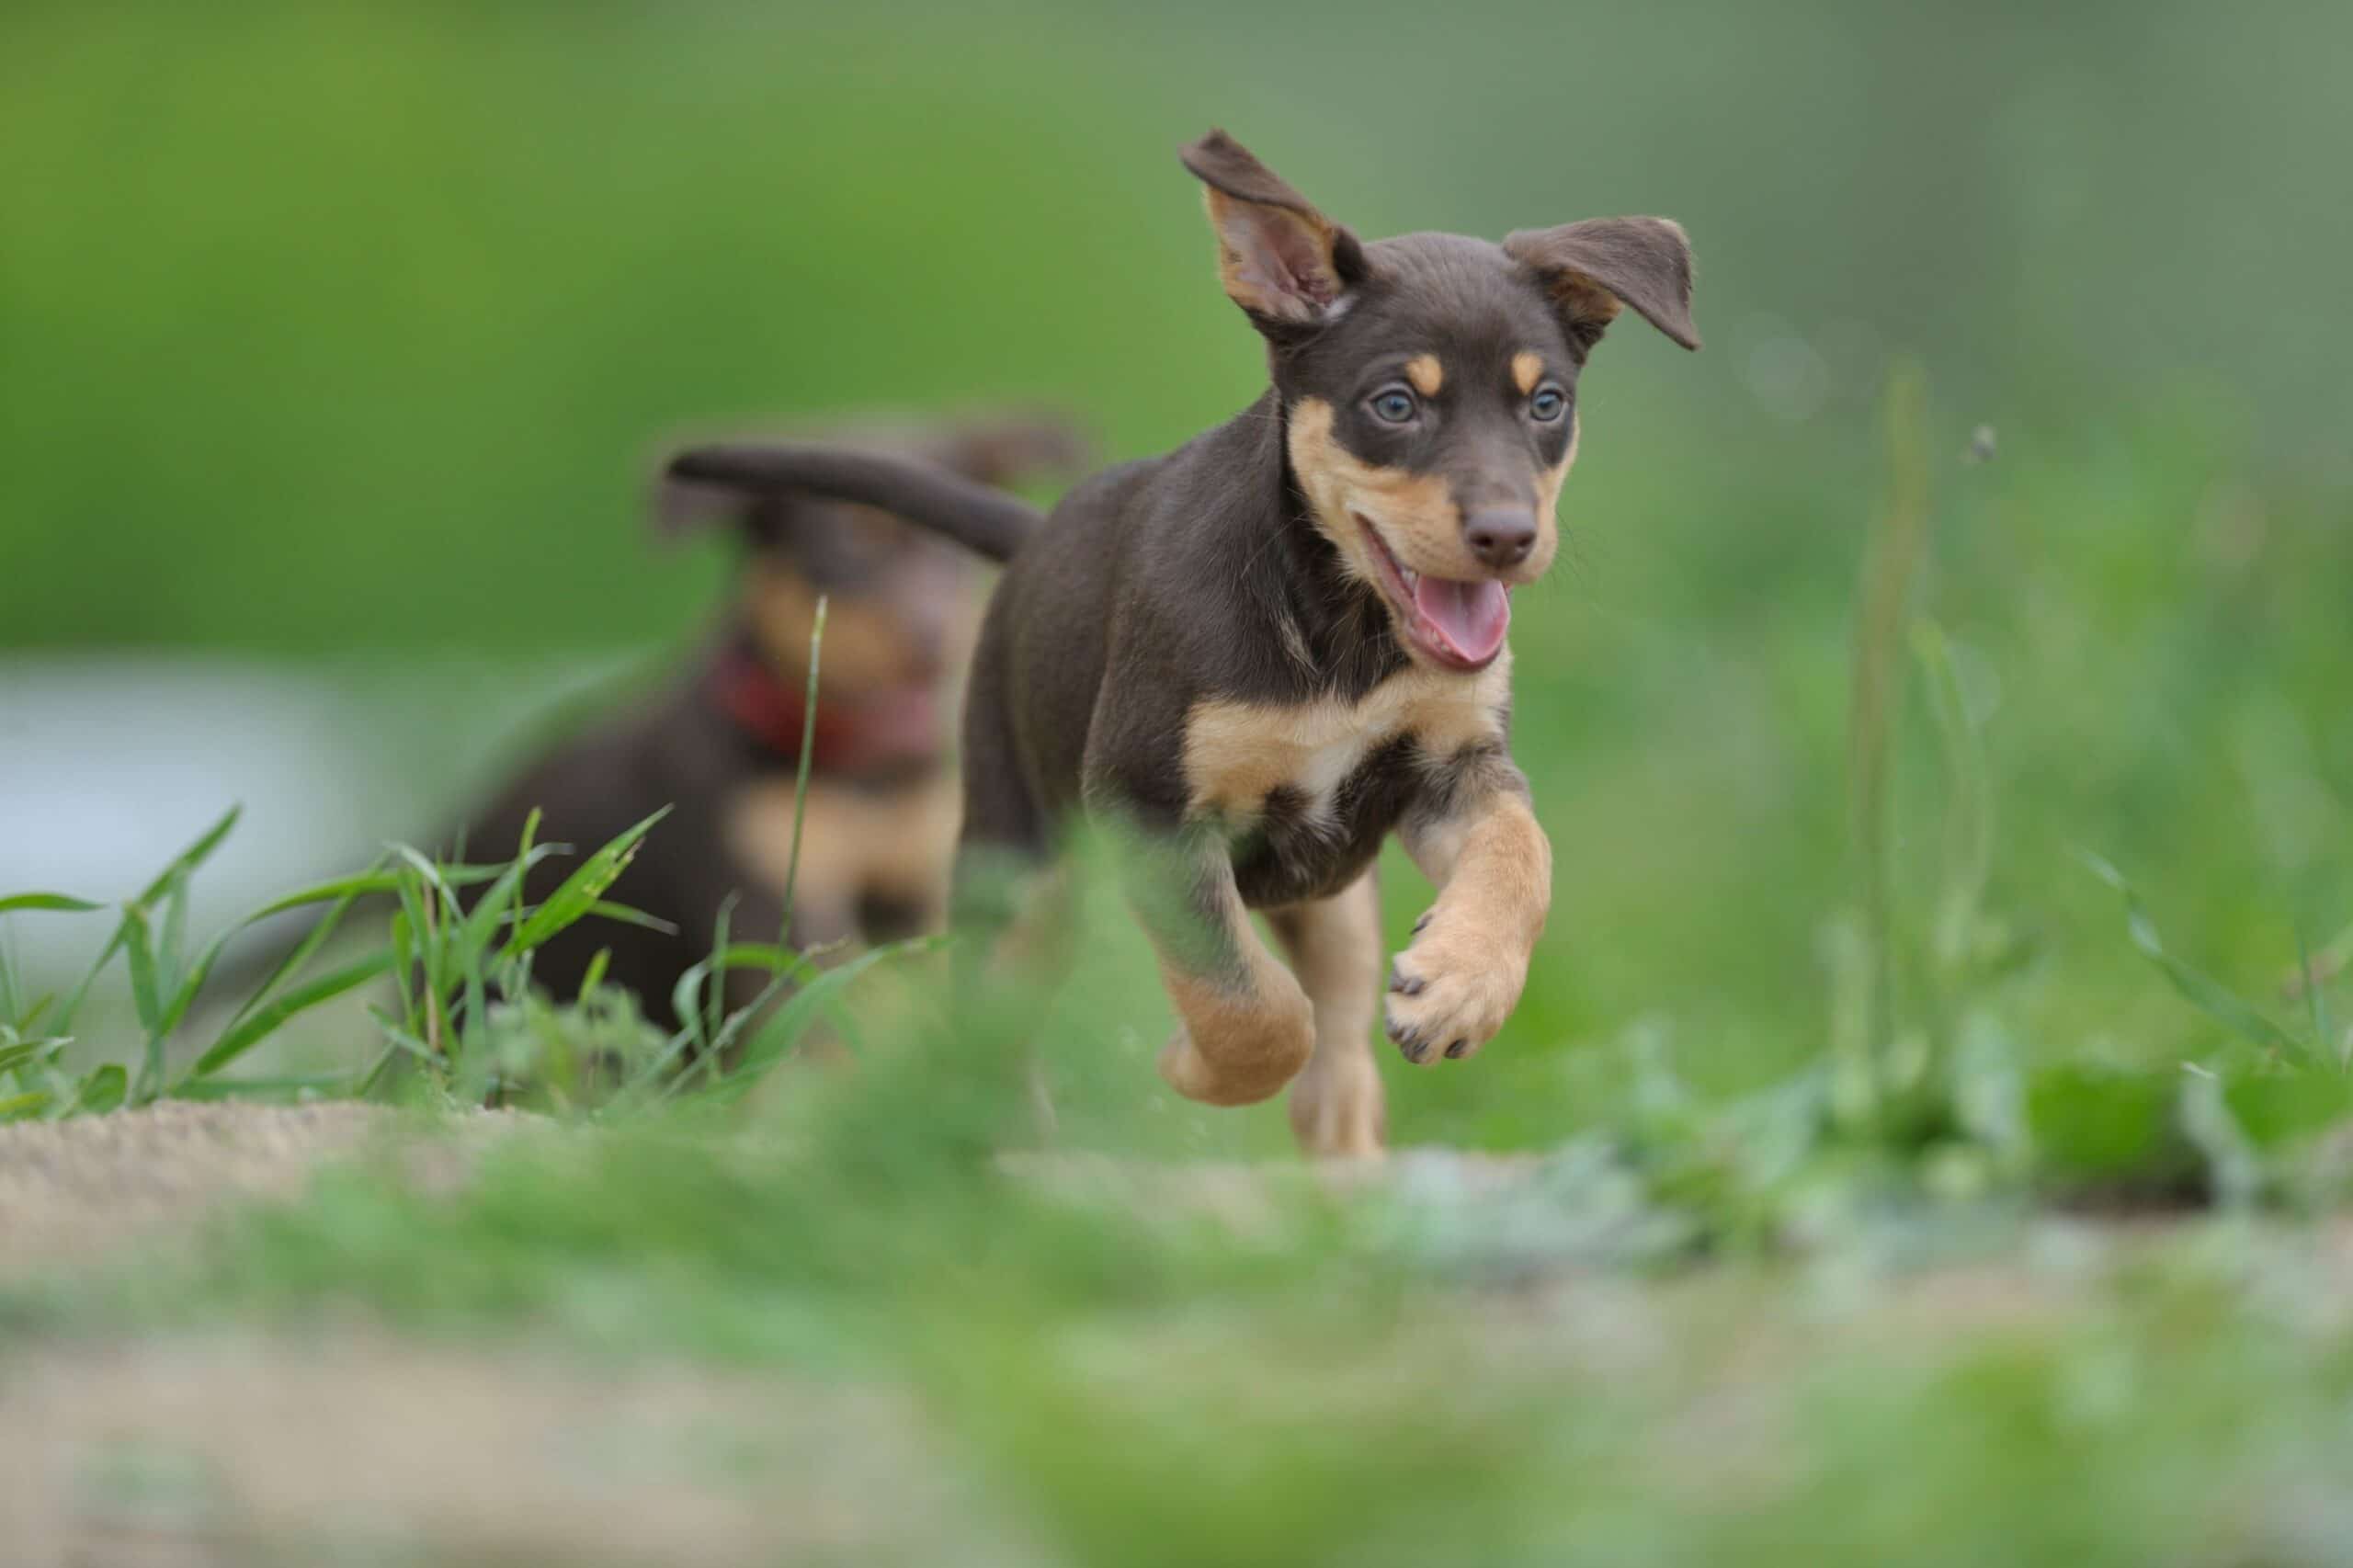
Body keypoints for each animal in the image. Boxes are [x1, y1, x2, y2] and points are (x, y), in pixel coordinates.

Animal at [663, 131, 1694, 1149]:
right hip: (1017, 866)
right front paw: (1193, 1068)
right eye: (1395, 404)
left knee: (1341, 1037)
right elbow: (1248, 1003)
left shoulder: (1452, 765)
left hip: (1332, 900)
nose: (1509, 537)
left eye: (1547, 403)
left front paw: (1461, 989)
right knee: (997, 1027)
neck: (1335, 633)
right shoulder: (1150, 810)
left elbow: (1522, 852)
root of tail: (1034, 538)